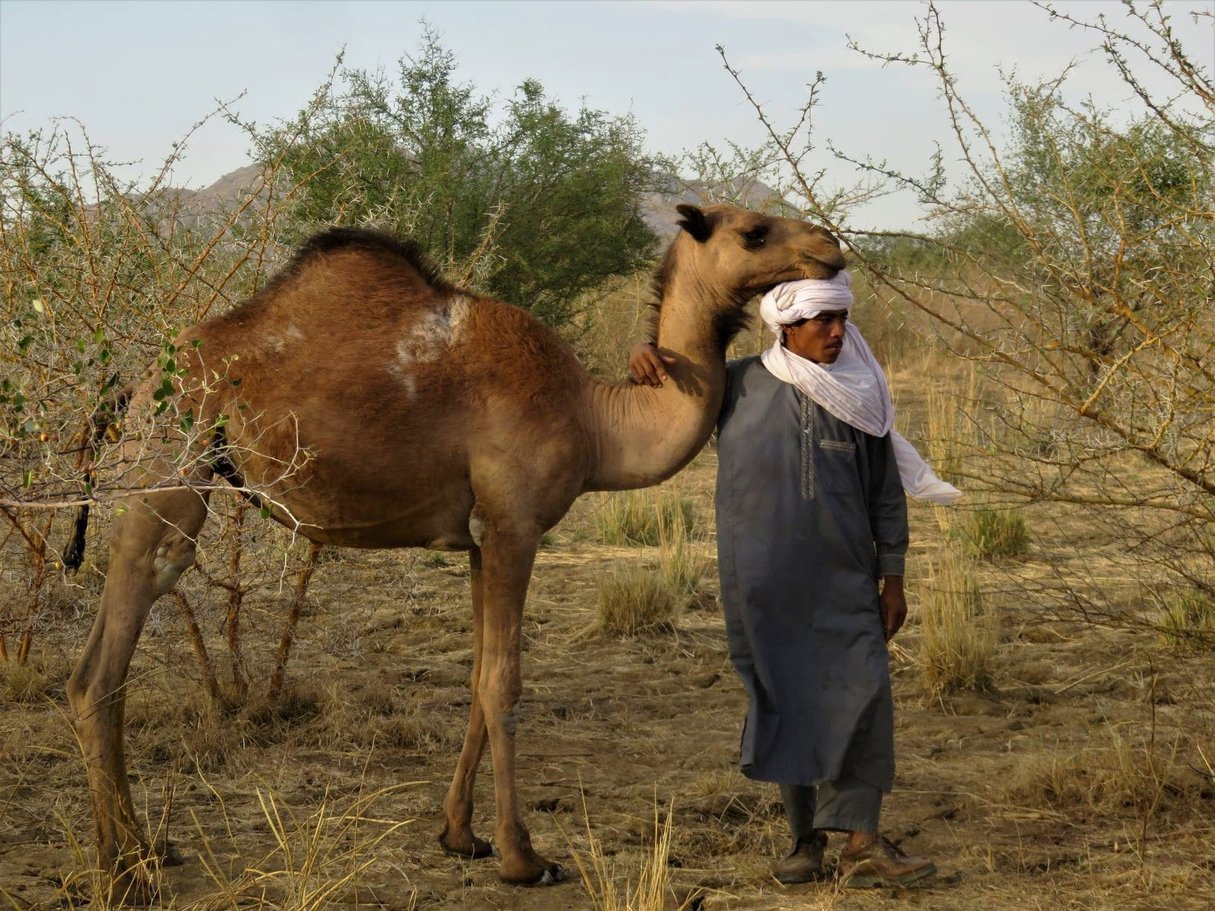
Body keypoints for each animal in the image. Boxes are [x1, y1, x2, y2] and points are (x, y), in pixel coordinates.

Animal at [66, 201, 845, 898]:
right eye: (754, 230)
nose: (830, 248)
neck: (596, 419)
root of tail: (135, 387)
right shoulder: (515, 525)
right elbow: (505, 680)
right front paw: (523, 857)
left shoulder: (478, 538)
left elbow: (476, 677)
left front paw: (459, 836)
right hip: (170, 471)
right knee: (100, 670)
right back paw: (125, 870)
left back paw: (143, 850)